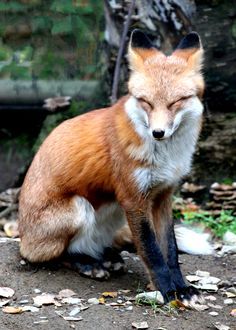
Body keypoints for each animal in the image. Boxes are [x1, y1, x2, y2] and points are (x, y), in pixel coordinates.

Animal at [18, 30, 205, 304]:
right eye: (146, 102)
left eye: (175, 102)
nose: (158, 133)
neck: (166, 156)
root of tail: (22, 235)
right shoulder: (133, 199)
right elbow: (152, 252)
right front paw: (167, 291)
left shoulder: (163, 196)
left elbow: (170, 250)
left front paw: (182, 288)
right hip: (79, 209)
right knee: (50, 255)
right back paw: (87, 264)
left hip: (113, 212)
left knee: (97, 245)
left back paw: (104, 256)